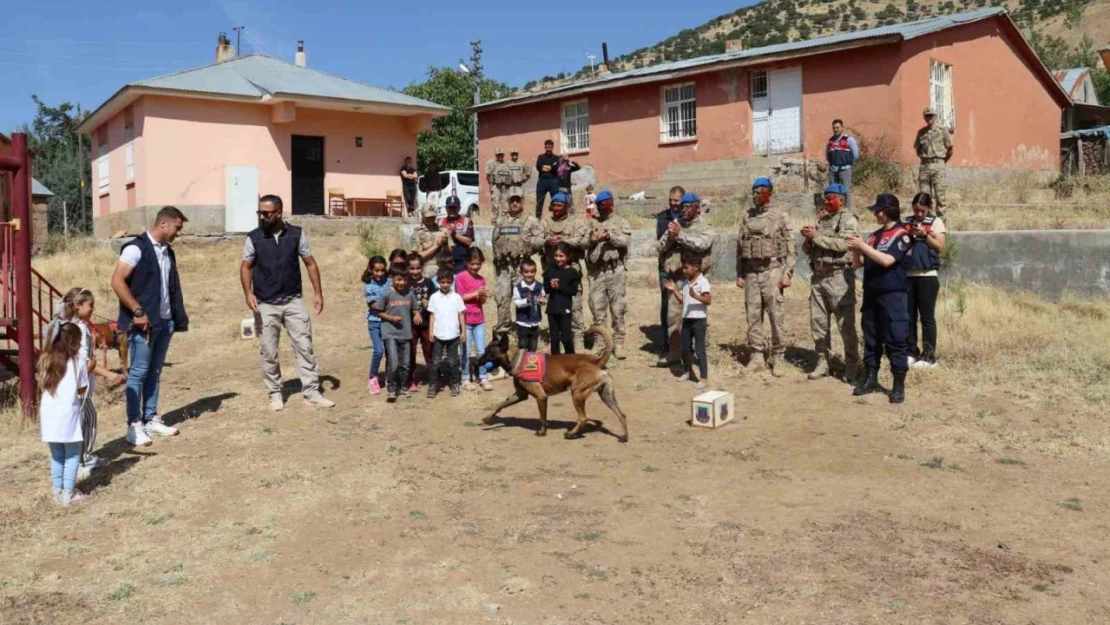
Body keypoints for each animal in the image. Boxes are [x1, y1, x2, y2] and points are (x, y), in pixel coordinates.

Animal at [479, 326, 630, 441]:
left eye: (489, 353)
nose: (476, 361)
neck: (517, 359)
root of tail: (597, 361)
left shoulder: (541, 397)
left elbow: (542, 418)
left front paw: (542, 432)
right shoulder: (519, 395)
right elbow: (499, 405)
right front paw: (488, 417)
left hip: (577, 394)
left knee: (583, 418)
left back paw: (571, 433)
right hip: (606, 395)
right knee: (621, 414)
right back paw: (624, 436)